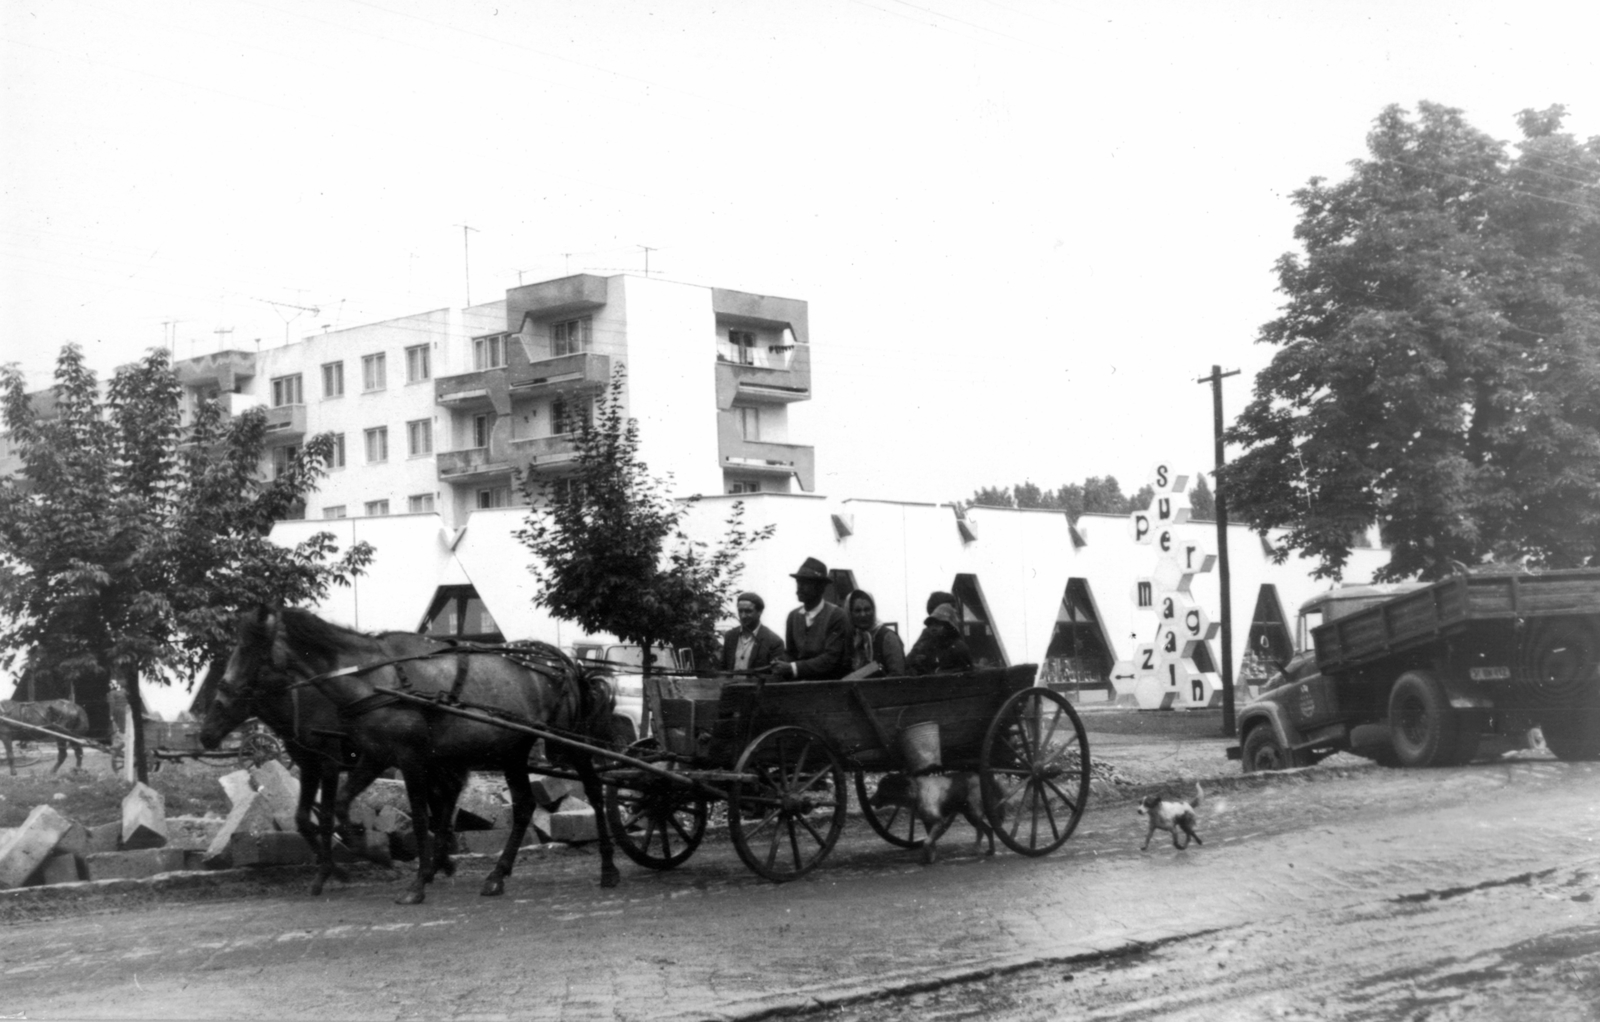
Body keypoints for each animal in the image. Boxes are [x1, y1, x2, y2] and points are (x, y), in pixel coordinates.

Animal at [222, 607, 620, 902]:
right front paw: (372, 851)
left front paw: (417, 882)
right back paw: (496, 875)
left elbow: (418, 816)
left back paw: (608, 867)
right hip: (513, 750)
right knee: (523, 806)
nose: (225, 689)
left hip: (567, 743)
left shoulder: (411, 759)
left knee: (593, 789)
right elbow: (342, 805)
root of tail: (565, 662)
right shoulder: (376, 757)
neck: (374, 679)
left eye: (252, 643)